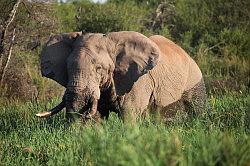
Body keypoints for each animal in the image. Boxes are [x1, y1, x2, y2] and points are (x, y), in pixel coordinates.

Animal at [35, 31, 207, 121]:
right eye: (67, 68)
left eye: (99, 69)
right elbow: (98, 117)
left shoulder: (138, 83)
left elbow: (129, 116)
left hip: (195, 79)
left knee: (197, 109)